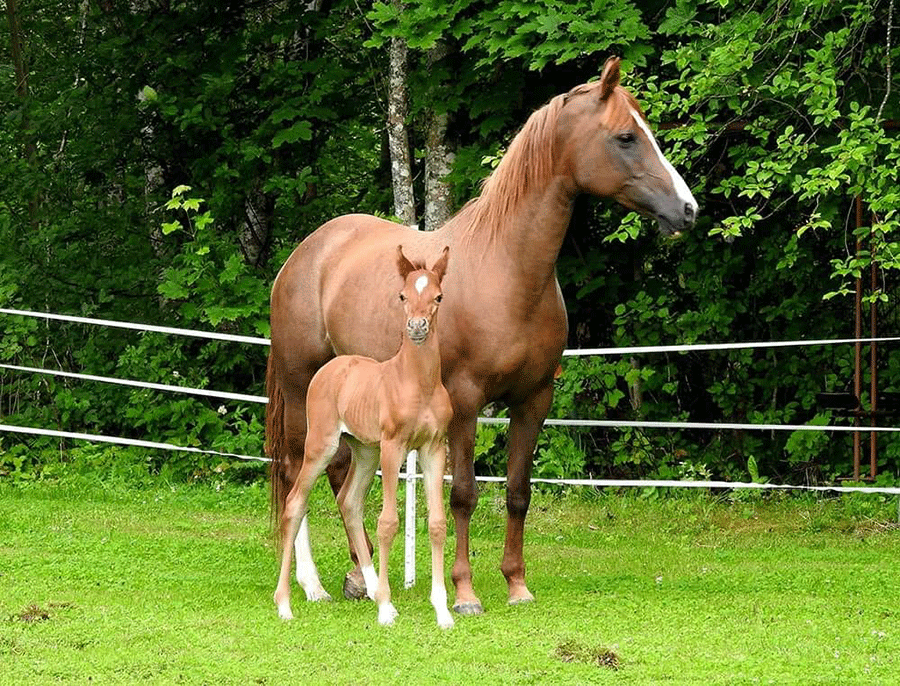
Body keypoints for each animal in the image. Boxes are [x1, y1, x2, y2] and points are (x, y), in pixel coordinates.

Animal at [274, 247, 454, 628]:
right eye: (402, 295)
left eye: (438, 297)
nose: (417, 328)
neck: (416, 382)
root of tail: (328, 368)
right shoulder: (393, 445)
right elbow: (388, 522)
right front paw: (386, 608)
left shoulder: (433, 448)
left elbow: (437, 522)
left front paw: (443, 611)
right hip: (323, 445)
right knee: (295, 501)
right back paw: (287, 602)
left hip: (364, 451)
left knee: (349, 501)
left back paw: (370, 588)